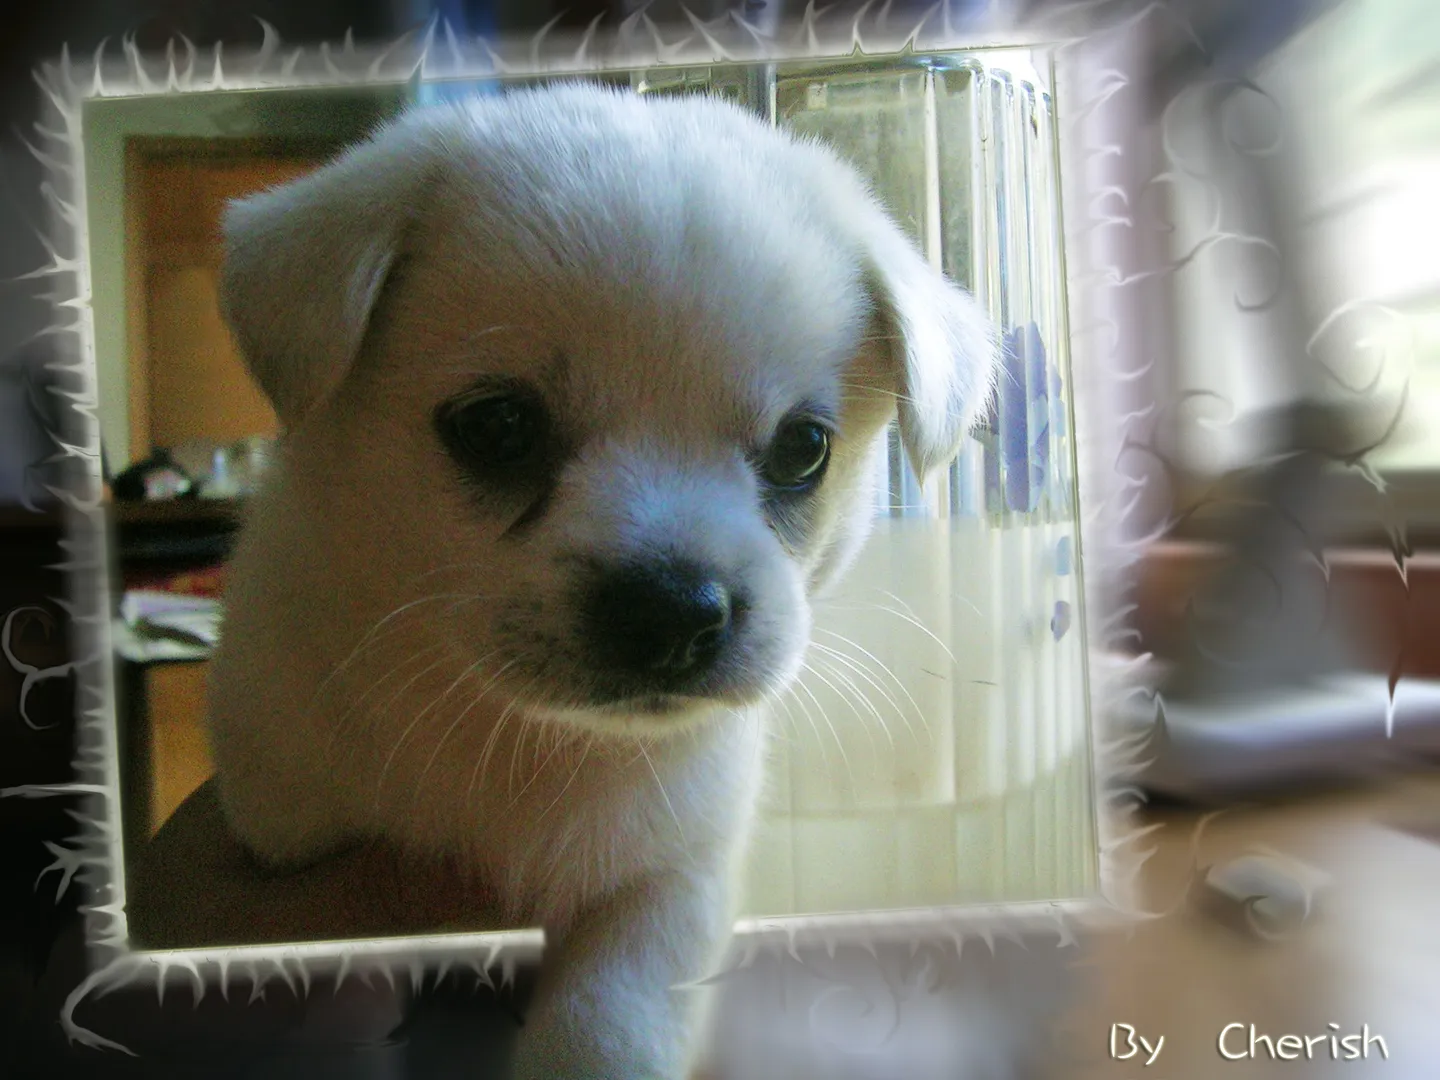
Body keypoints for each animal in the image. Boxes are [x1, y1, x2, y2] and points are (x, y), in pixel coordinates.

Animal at [208, 82, 997, 1079]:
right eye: (498, 427)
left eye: (802, 449)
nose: (674, 614)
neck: (530, 742)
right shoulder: (288, 843)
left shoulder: (671, 882)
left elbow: (606, 1025)